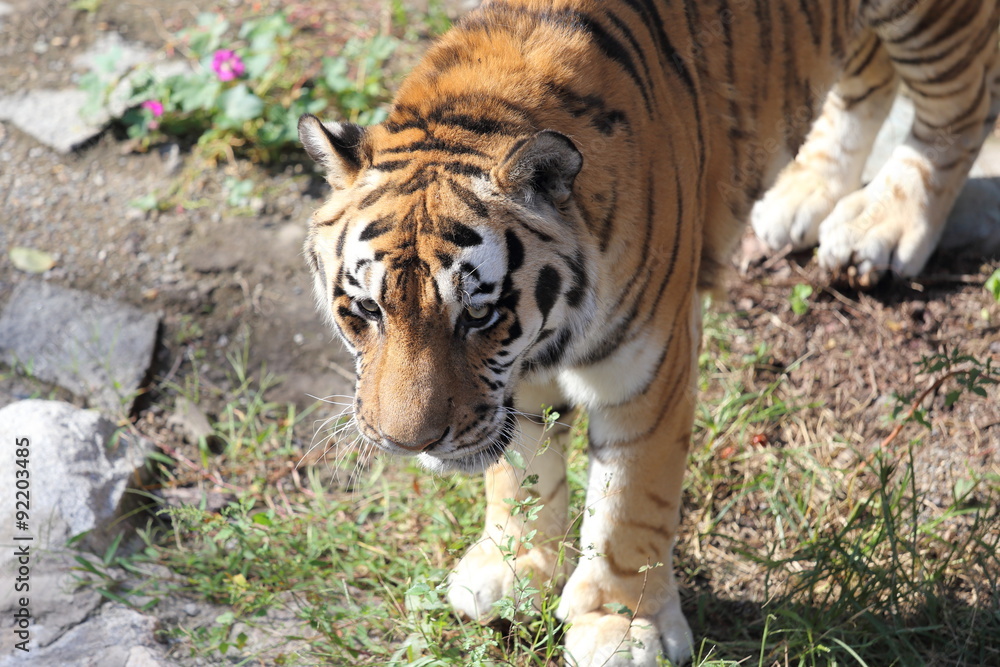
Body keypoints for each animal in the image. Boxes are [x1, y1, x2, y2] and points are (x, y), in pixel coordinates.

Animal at [297, 0, 1000, 663]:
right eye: (365, 311)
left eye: (478, 314)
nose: (406, 443)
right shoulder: (514, 380)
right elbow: (521, 468)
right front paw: (514, 568)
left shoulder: (648, 368)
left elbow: (627, 506)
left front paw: (618, 627)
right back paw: (802, 195)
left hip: (933, 27)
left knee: (958, 112)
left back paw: (881, 227)